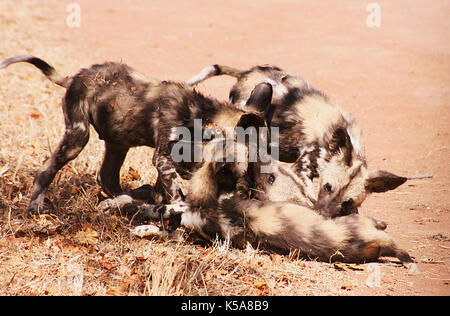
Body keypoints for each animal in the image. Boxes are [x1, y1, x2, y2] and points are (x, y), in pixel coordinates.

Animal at [0, 55, 312, 215]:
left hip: (118, 144)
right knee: (46, 170)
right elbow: (173, 192)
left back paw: (123, 199)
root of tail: (78, 75)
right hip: (78, 136)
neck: (202, 119)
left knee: (107, 177)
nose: (267, 170)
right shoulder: (163, 159)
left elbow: (165, 189)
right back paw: (35, 206)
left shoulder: (178, 162)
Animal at [186, 64, 408, 217]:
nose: (322, 216)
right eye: (327, 187)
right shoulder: (302, 170)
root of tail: (248, 72)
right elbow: (306, 196)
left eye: (348, 201)